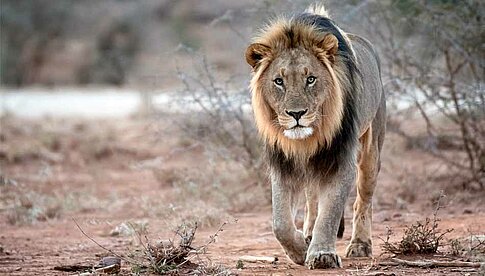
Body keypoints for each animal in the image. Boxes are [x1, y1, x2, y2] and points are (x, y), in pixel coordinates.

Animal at [246, 4, 386, 270]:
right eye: (278, 81)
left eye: (310, 79)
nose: (296, 114)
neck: (306, 140)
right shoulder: (282, 162)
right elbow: (280, 223)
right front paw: (300, 250)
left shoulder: (341, 159)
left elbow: (329, 212)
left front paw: (322, 255)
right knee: (312, 198)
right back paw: (309, 234)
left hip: (371, 149)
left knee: (363, 199)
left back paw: (360, 245)